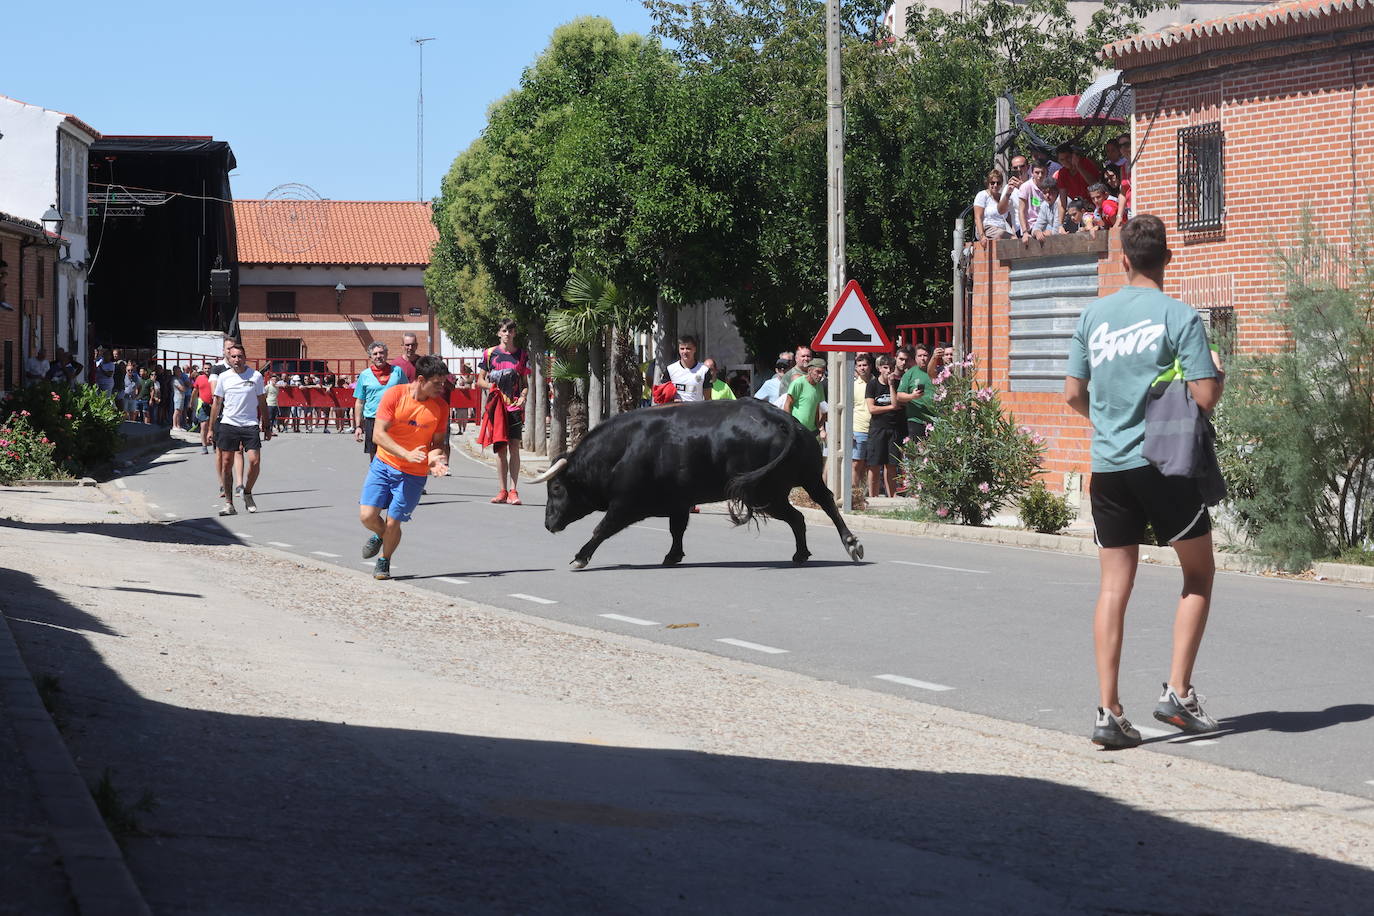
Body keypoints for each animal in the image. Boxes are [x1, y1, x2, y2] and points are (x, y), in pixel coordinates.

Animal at [530, 398, 862, 568]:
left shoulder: (625, 503)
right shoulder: (679, 503)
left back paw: (836, 547)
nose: (547, 523)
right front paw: (673, 556)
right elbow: (677, 530)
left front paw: (579, 557)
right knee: (816, 507)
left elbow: (602, 528)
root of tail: (784, 420)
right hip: (803, 479)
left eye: (556, 488)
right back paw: (827, 548)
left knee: (803, 514)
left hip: (764, 493)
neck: (624, 449)